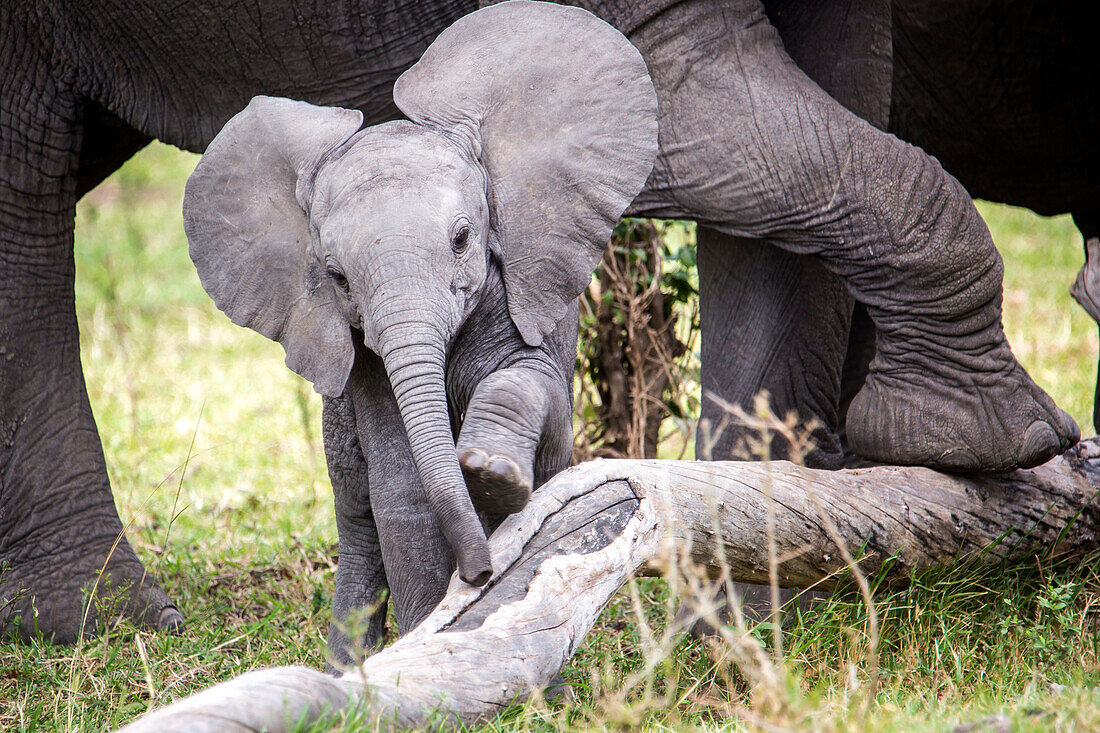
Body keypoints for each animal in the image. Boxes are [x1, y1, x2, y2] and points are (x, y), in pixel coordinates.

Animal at [0, 0, 1078, 638]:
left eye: (466, 240)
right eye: (333, 276)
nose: (486, 572)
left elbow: (828, 147)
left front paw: (744, 609)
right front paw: (998, 441)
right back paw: (117, 626)